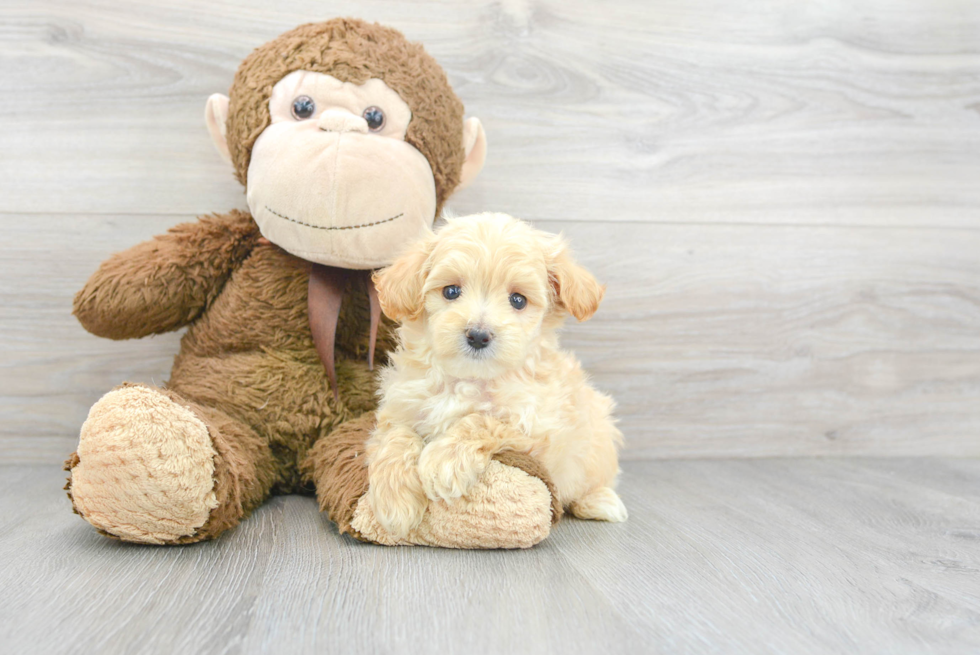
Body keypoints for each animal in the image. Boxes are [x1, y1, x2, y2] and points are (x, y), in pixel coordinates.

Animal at [364, 213, 624, 540]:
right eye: (451, 291)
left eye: (518, 300)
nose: (478, 335)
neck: (468, 377)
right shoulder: (401, 405)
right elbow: (396, 436)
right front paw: (394, 501)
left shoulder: (537, 427)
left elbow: (482, 421)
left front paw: (443, 461)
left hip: (599, 439)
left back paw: (600, 502)